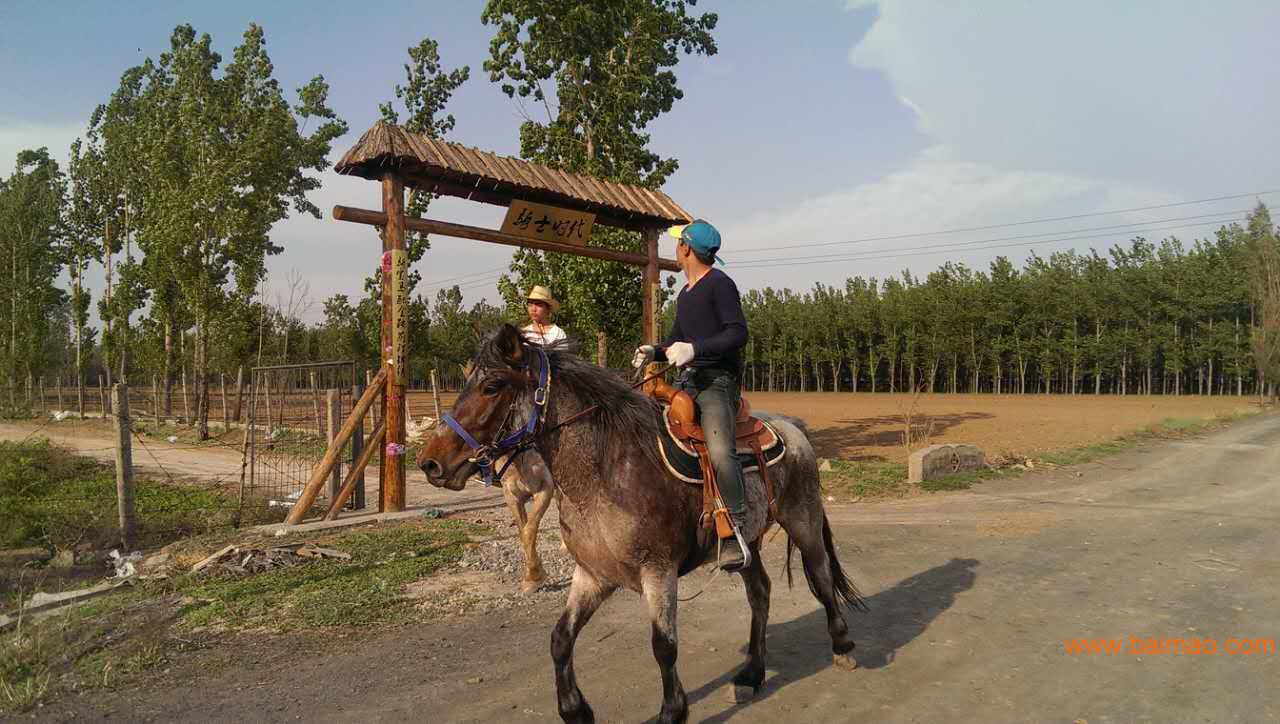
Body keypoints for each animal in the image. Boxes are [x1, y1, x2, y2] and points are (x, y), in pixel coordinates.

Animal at [417, 330, 860, 724]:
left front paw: (672, 712)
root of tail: (792, 427)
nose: (430, 462)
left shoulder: (658, 571)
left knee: (821, 578)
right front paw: (575, 710)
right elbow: (560, 639)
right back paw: (752, 673)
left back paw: (842, 645)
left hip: (803, 520)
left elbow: (663, 646)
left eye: (491, 386)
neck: (607, 471)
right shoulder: (593, 575)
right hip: (747, 542)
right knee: (761, 593)